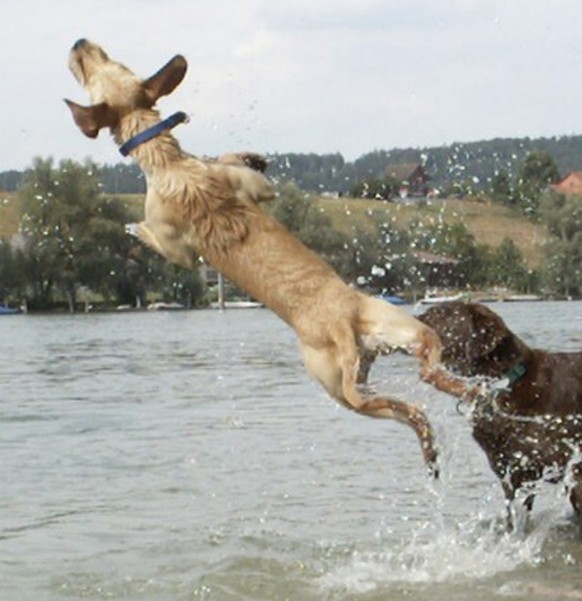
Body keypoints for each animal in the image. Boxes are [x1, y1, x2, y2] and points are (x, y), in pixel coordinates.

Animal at [65, 41, 474, 474]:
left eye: (99, 65)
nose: (78, 43)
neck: (166, 159)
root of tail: (341, 326)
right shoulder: (254, 188)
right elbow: (238, 168)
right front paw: (249, 156)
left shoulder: (178, 248)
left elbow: (157, 233)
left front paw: (130, 227)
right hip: (396, 335)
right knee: (422, 384)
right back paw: (448, 419)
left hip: (336, 382)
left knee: (402, 399)